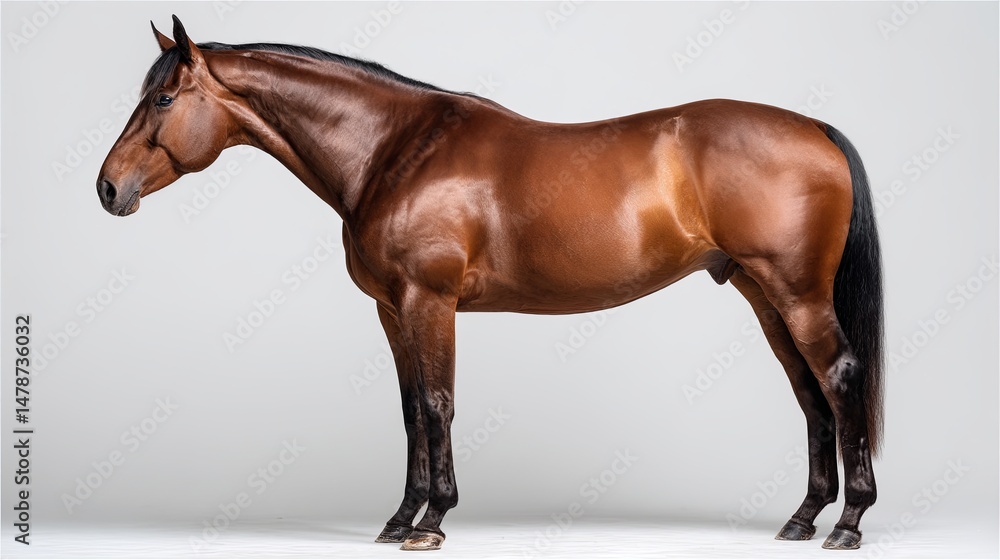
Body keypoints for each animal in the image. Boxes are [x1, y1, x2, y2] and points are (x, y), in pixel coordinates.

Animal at [98, 16, 884, 551]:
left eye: (163, 99)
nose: (108, 188)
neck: (393, 151)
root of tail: (812, 127)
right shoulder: (392, 311)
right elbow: (411, 411)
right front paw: (399, 519)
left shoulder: (430, 301)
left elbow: (439, 404)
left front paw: (433, 521)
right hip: (762, 294)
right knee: (808, 391)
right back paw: (802, 518)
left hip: (797, 294)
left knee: (841, 378)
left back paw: (847, 522)